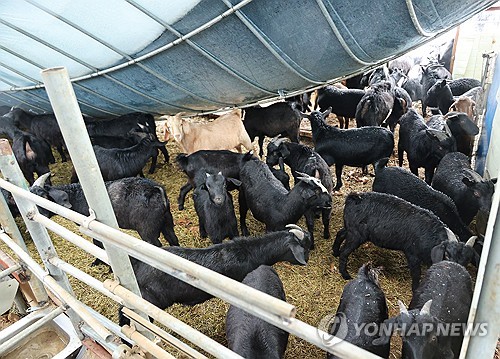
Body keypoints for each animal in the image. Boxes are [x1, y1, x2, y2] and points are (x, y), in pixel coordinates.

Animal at [31, 174, 180, 248]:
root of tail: (155, 189)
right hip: (167, 222)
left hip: (148, 231)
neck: (77, 195)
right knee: (173, 240)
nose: (39, 215)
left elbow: (97, 243)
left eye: (44, 196)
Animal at [334, 193, 478, 292]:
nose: (455, 274)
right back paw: (345, 274)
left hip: (351, 229)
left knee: (340, 233)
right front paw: (415, 289)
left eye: (467, 260)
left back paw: (335, 252)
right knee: (345, 252)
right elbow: (416, 274)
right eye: (447, 254)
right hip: (356, 235)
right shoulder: (412, 254)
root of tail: (354, 198)